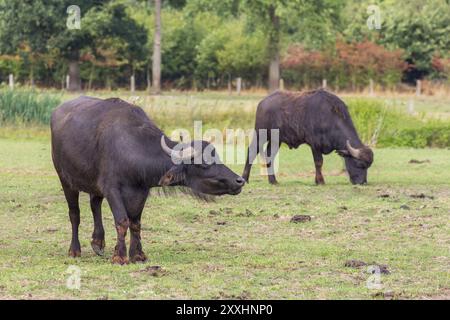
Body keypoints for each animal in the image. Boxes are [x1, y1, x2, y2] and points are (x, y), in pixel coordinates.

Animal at [51, 95, 244, 264]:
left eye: (216, 156)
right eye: (203, 163)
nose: (239, 180)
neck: (131, 149)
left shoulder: (141, 191)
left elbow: (135, 223)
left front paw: (138, 255)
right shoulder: (112, 189)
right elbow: (122, 221)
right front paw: (120, 257)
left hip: (94, 185)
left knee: (94, 205)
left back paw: (98, 243)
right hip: (65, 179)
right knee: (74, 214)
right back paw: (74, 250)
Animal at [243, 89, 372, 185]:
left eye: (368, 166)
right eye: (360, 164)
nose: (363, 182)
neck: (330, 118)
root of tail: (262, 103)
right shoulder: (315, 144)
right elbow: (319, 162)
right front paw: (320, 181)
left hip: (276, 140)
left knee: (270, 155)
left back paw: (273, 180)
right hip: (261, 134)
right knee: (252, 151)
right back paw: (245, 178)